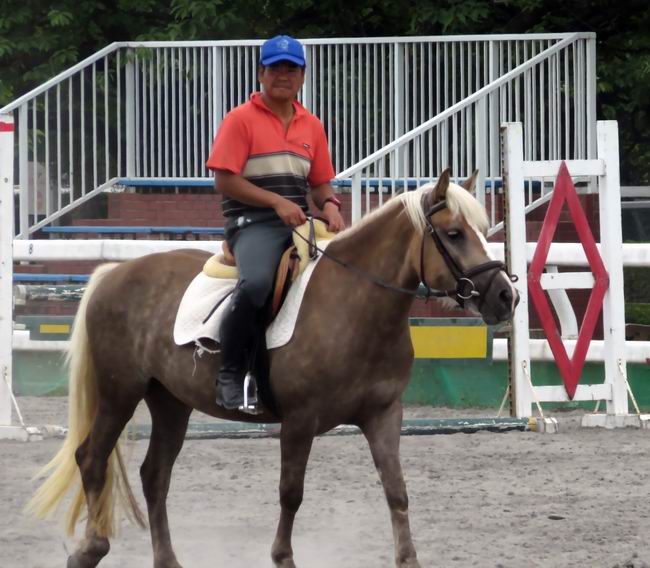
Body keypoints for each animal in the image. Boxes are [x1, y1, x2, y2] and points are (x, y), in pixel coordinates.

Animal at [27, 170, 516, 568]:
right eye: (453, 233)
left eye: (482, 230)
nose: (505, 296)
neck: (353, 304)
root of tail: (113, 272)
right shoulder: (299, 422)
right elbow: (290, 493)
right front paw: (282, 557)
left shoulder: (383, 415)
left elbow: (396, 490)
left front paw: (408, 558)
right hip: (119, 393)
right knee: (92, 458)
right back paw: (90, 549)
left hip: (170, 402)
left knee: (154, 476)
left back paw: (167, 561)